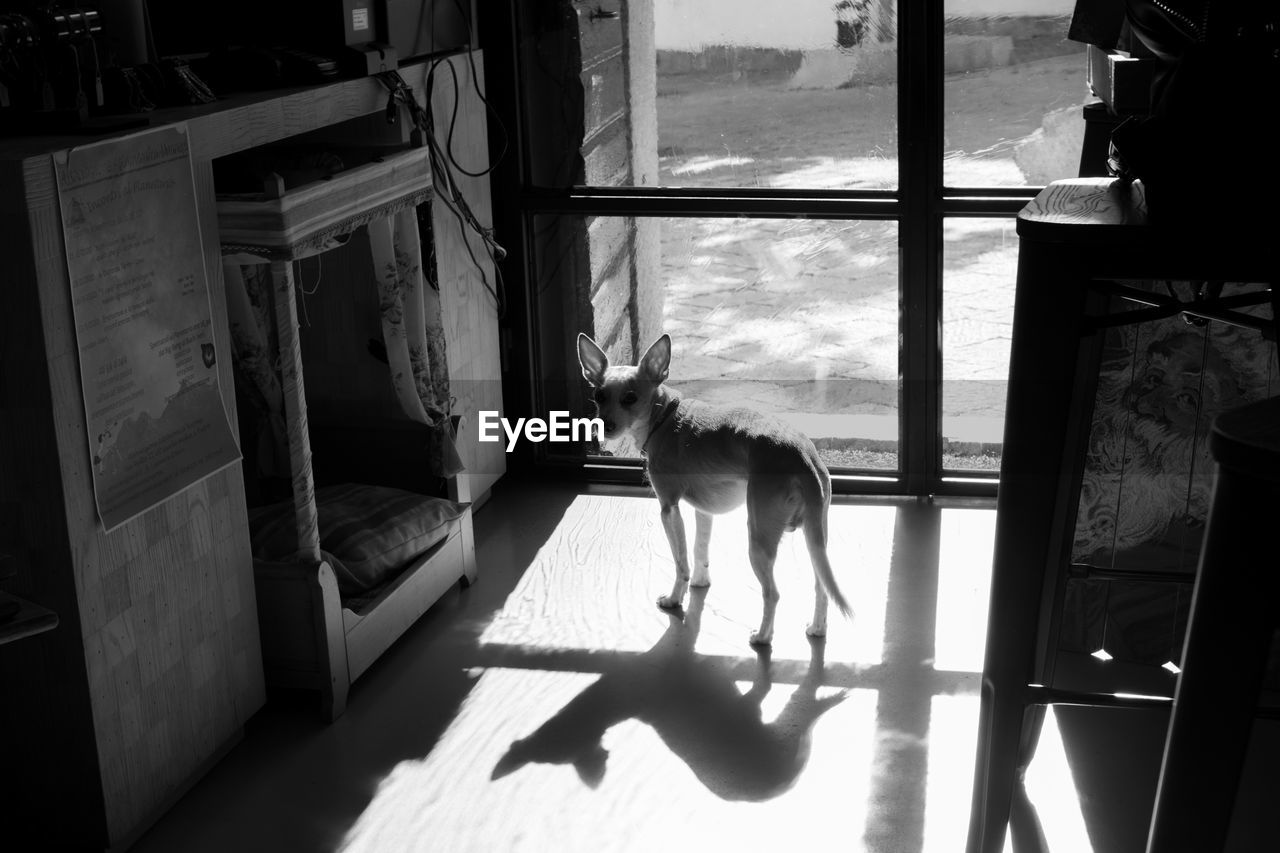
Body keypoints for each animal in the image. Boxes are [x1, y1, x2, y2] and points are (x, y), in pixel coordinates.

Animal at [581, 333, 849, 645]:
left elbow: (681, 562)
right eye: (599, 396)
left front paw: (675, 599)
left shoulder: (669, 510)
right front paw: (700, 583)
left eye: (630, 398)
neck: (664, 417)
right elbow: (700, 550)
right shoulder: (703, 511)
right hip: (815, 537)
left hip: (758, 540)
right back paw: (817, 628)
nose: (603, 425)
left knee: (772, 593)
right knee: (821, 587)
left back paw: (762, 636)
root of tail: (804, 455)